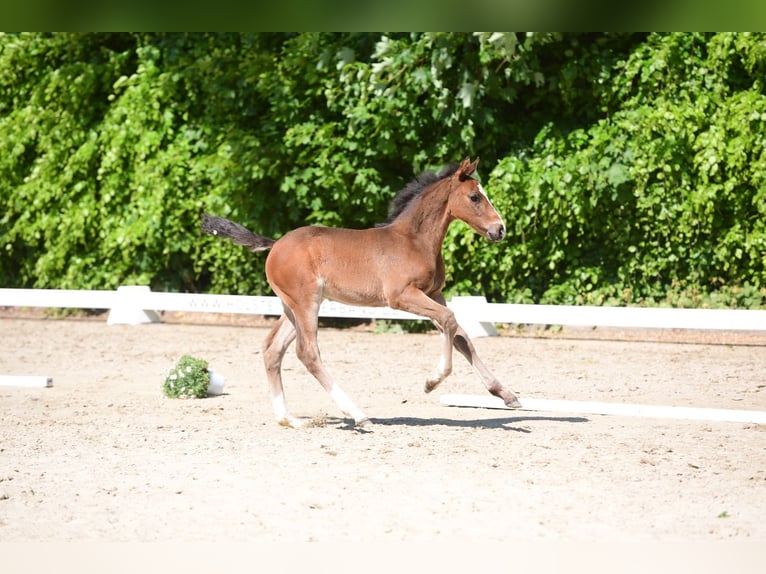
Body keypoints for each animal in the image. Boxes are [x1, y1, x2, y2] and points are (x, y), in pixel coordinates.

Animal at [202, 156, 520, 428]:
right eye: (475, 197)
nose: (500, 229)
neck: (414, 240)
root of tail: (275, 244)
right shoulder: (401, 296)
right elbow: (450, 321)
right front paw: (431, 383)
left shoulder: (433, 294)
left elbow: (461, 336)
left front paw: (506, 394)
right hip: (306, 303)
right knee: (307, 352)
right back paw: (357, 414)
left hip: (292, 307)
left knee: (272, 349)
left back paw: (288, 419)